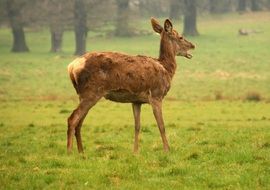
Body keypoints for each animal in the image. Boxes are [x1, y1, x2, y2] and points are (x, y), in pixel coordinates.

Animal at [66, 17, 195, 154]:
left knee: (79, 122)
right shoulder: (156, 95)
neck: (166, 69)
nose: (193, 45)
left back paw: (81, 152)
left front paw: (135, 151)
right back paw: (69, 152)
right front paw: (167, 150)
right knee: (73, 118)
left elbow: (137, 126)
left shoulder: (136, 101)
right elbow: (161, 125)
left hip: (83, 94)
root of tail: (71, 67)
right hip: (91, 92)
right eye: (181, 37)